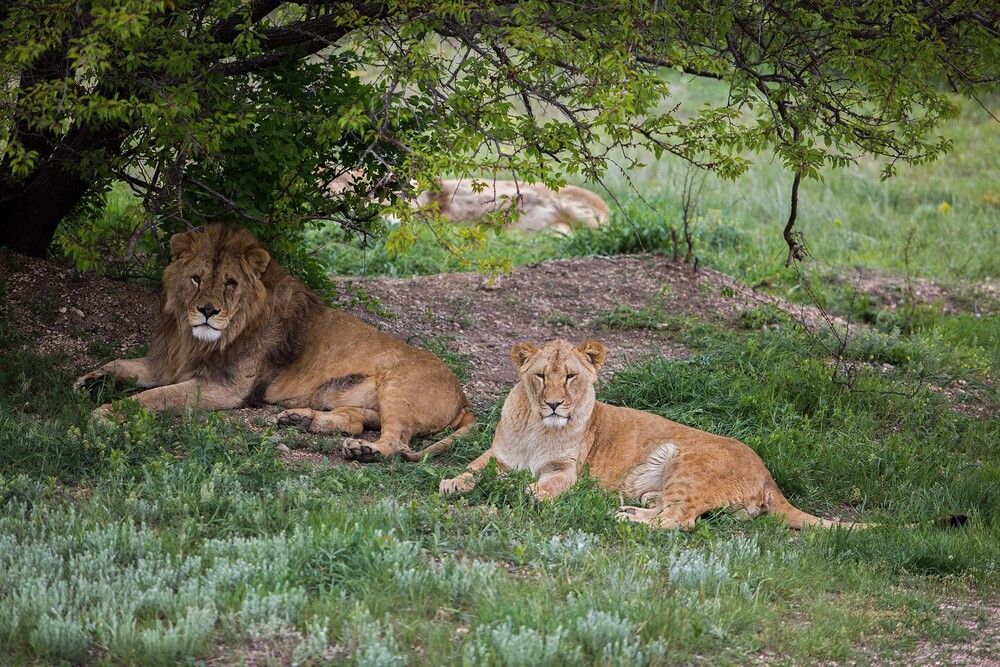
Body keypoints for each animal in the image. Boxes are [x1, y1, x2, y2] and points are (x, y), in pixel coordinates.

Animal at [74, 223, 474, 462]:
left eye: (231, 283)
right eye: (196, 278)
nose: (207, 310)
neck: (197, 339)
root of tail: (463, 396)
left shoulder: (222, 388)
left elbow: (155, 396)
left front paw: (106, 413)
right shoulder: (168, 362)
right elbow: (120, 363)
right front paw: (90, 381)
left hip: (399, 391)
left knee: (396, 442)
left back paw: (365, 452)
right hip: (358, 397)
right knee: (357, 421)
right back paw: (302, 420)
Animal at [439, 339, 869, 530]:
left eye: (571, 377)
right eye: (542, 376)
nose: (555, 404)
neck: (537, 427)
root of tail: (768, 476)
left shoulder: (566, 470)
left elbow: (542, 487)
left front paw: (520, 494)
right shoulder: (500, 455)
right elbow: (473, 467)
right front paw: (452, 483)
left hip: (686, 463)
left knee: (680, 520)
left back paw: (622, 516)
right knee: (671, 510)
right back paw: (631, 508)